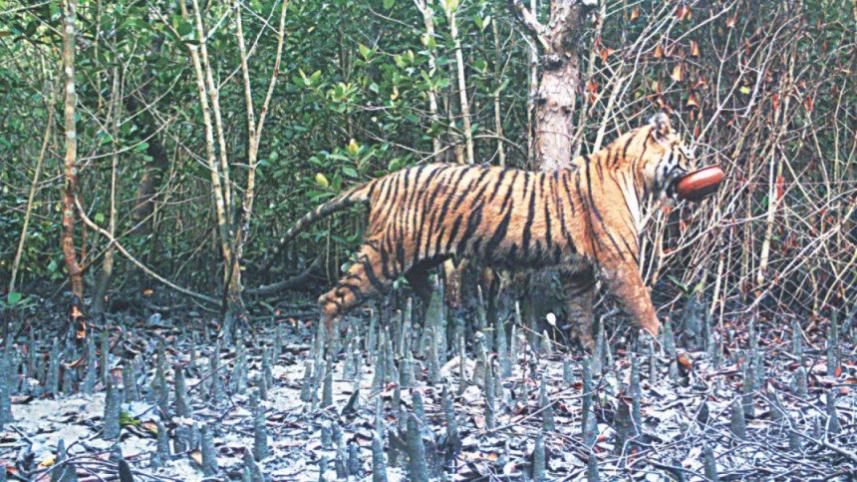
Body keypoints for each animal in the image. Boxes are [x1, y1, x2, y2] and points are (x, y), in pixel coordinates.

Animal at [276, 113, 692, 348]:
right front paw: (662, 345)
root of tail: (383, 181)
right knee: (330, 299)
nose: (696, 163)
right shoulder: (618, 263)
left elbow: (581, 311)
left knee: (421, 281)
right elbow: (642, 305)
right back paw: (330, 349)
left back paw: (444, 313)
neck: (637, 175)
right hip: (384, 256)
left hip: (419, 254)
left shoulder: (579, 270)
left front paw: (589, 352)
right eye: (684, 152)